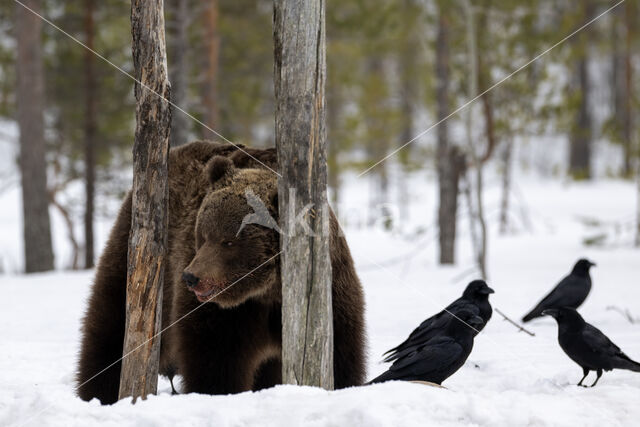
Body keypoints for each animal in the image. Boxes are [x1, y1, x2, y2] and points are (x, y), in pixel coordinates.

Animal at [76, 141, 364, 404]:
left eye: (229, 242)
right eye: (203, 235)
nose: (191, 277)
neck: (268, 290)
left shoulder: (330, 294)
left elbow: (342, 355)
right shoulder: (224, 314)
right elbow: (216, 360)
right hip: (137, 256)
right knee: (111, 325)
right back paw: (100, 393)